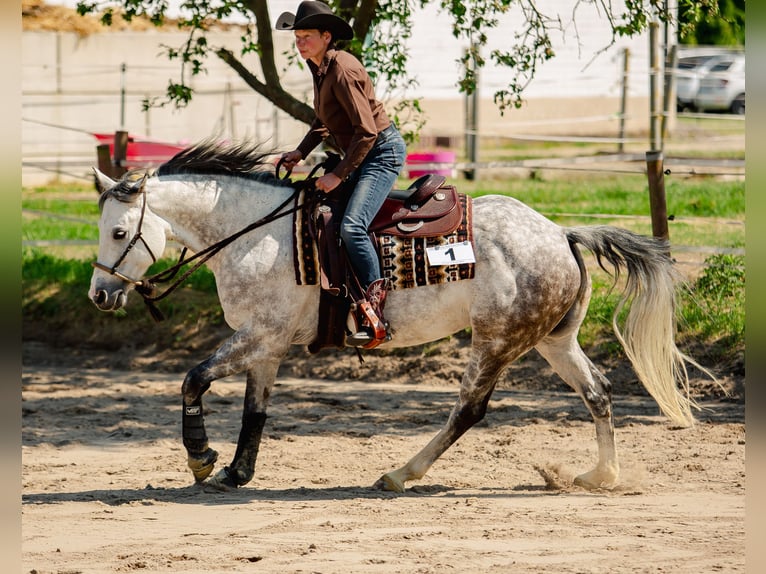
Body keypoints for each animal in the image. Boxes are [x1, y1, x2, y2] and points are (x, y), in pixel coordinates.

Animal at [90, 142, 708, 492]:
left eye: (119, 232)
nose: (99, 294)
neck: (256, 233)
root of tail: (561, 233)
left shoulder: (257, 335)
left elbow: (193, 378)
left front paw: (200, 458)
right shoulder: (266, 344)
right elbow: (254, 411)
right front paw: (236, 472)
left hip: (496, 341)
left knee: (468, 411)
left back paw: (400, 475)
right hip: (553, 340)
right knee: (598, 392)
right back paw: (602, 476)